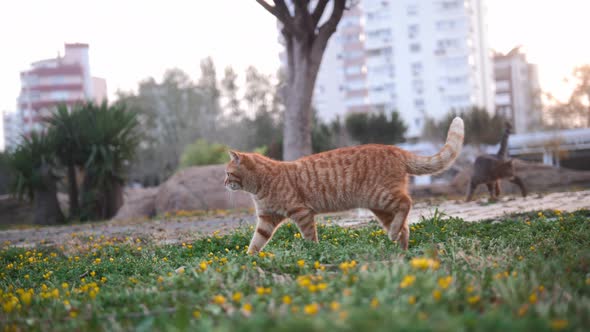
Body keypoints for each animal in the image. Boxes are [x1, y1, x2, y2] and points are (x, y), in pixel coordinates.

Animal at [224, 116, 464, 254]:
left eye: (227, 173)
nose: (224, 182)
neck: (260, 185)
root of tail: (394, 148)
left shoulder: (301, 213)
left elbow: (310, 237)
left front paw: (313, 253)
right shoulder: (266, 220)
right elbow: (255, 243)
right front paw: (248, 261)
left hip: (381, 196)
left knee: (407, 203)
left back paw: (396, 241)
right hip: (381, 207)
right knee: (404, 226)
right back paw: (399, 251)